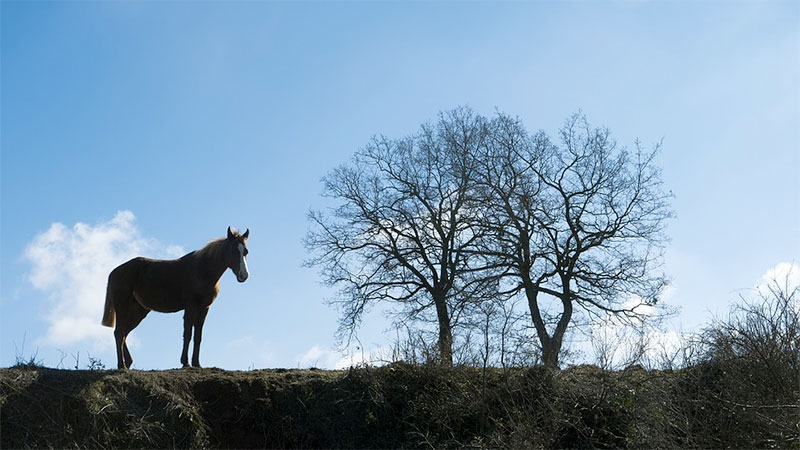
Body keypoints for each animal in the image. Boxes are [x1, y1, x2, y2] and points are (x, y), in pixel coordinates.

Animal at [101, 227, 249, 369]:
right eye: (234, 251)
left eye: (245, 252)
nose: (244, 275)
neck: (202, 271)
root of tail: (114, 272)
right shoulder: (190, 307)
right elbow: (188, 334)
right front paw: (185, 362)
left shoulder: (204, 308)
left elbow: (198, 336)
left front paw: (196, 363)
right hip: (122, 307)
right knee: (119, 333)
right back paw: (122, 366)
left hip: (138, 312)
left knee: (124, 333)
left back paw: (128, 362)